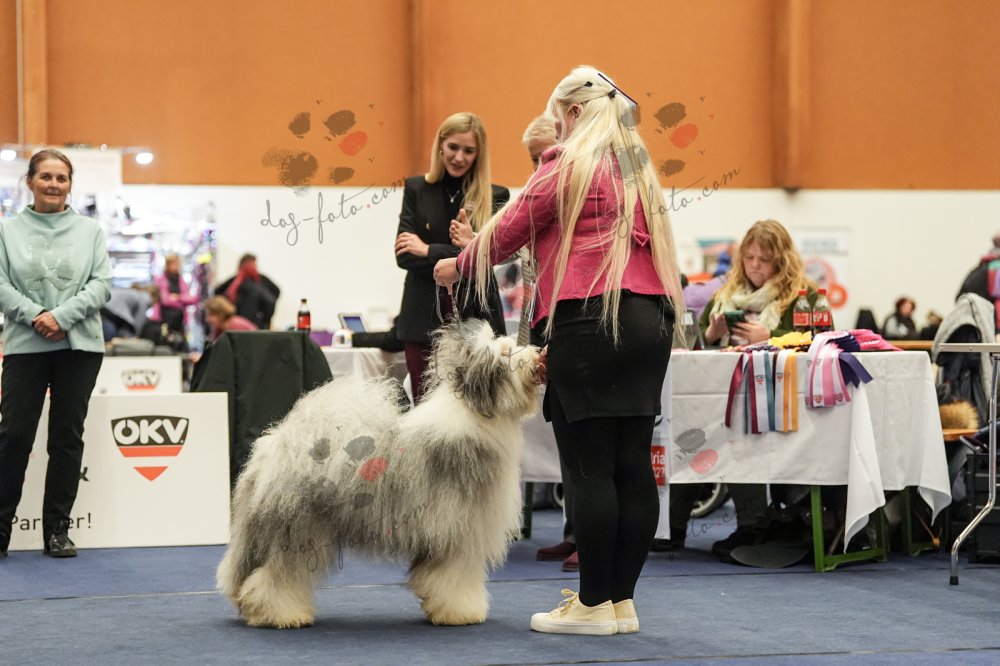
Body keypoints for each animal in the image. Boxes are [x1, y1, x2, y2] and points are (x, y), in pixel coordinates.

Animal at [217, 319, 542, 628]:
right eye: (506, 354)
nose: (538, 354)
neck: (477, 414)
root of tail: (279, 443)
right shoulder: (458, 532)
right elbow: (454, 578)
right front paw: (461, 612)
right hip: (299, 530)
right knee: (275, 575)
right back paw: (282, 614)